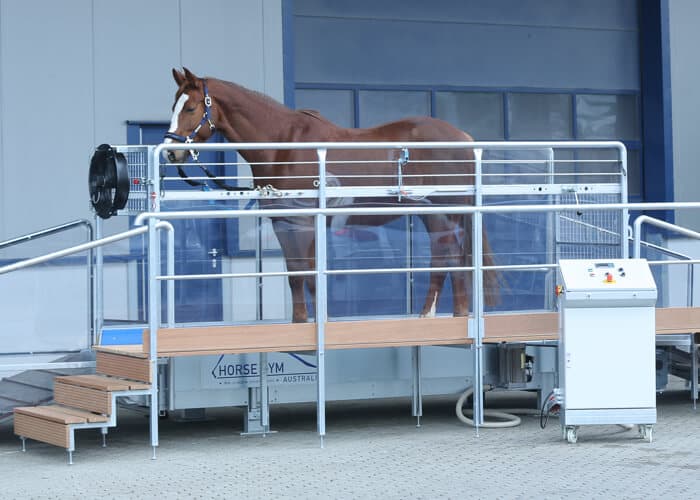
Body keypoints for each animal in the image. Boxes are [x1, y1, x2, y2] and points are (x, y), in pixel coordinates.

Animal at [164, 67, 498, 323]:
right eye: (173, 106)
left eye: (191, 108)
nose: (170, 151)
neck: (283, 145)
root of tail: (463, 138)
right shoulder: (284, 222)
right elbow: (297, 274)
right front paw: (301, 322)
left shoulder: (304, 222)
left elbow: (308, 273)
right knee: (451, 257)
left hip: (442, 210)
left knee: (448, 255)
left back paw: (437, 315)